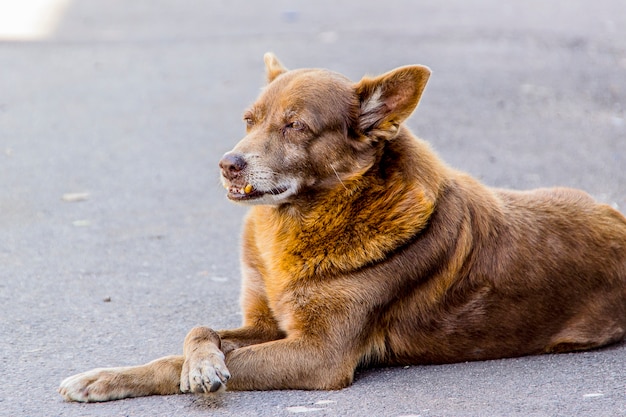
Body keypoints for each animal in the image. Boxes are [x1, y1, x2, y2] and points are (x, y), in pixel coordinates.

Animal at [59, 53, 624, 402]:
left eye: (296, 126)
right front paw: (157, 370)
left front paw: (188, 372)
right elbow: (195, 334)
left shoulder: (319, 354)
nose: (227, 164)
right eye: (249, 120)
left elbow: (192, 362)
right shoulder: (266, 322)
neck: (297, 224)